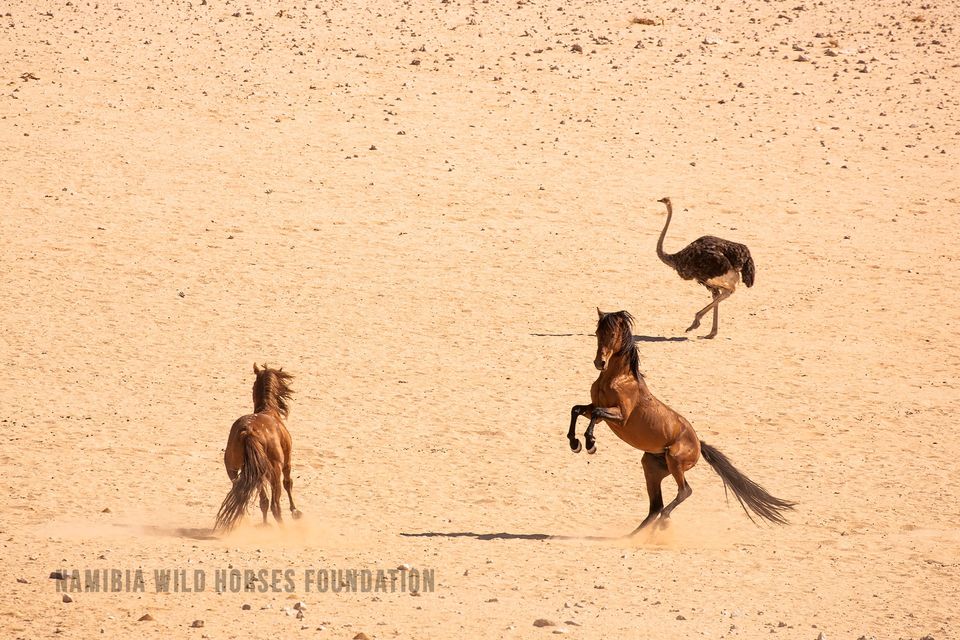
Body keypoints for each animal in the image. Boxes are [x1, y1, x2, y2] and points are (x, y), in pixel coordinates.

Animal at [216, 362, 302, 532]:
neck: (268, 410)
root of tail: (248, 430)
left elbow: (263, 501)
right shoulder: (287, 461)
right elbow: (288, 483)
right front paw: (295, 511)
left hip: (234, 470)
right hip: (274, 471)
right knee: (275, 505)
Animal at [568, 310, 792, 536]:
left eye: (612, 334)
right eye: (597, 332)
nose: (600, 363)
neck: (617, 378)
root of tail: (699, 445)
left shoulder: (621, 418)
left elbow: (593, 414)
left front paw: (590, 443)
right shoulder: (596, 409)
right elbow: (576, 409)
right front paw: (575, 444)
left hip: (674, 461)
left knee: (684, 491)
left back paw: (662, 522)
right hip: (652, 466)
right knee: (656, 506)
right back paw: (632, 536)